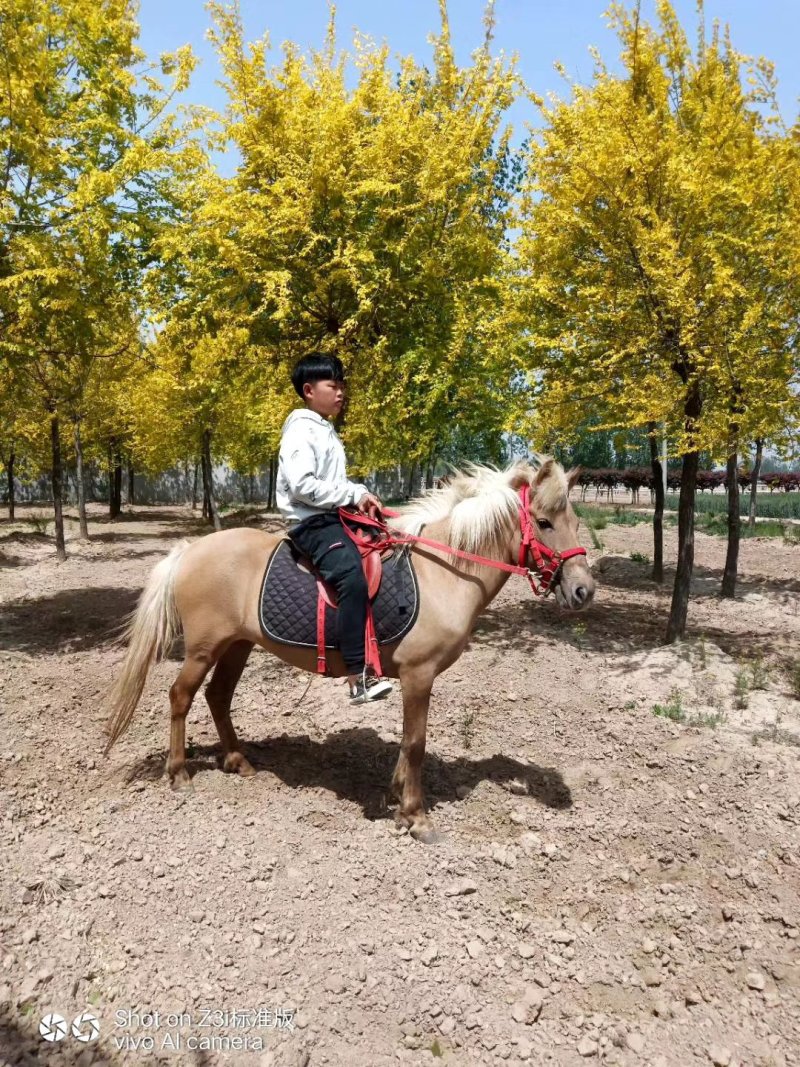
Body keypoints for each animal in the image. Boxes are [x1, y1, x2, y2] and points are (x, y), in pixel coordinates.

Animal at [103, 457, 595, 842]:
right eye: (545, 523)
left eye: (576, 523)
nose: (583, 591)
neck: (445, 571)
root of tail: (189, 550)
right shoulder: (419, 674)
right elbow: (416, 742)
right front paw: (416, 817)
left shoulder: (416, 679)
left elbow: (407, 741)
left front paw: (396, 795)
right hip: (204, 648)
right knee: (180, 697)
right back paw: (179, 773)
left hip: (237, 644)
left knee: (217, 697)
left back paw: (238, 761)